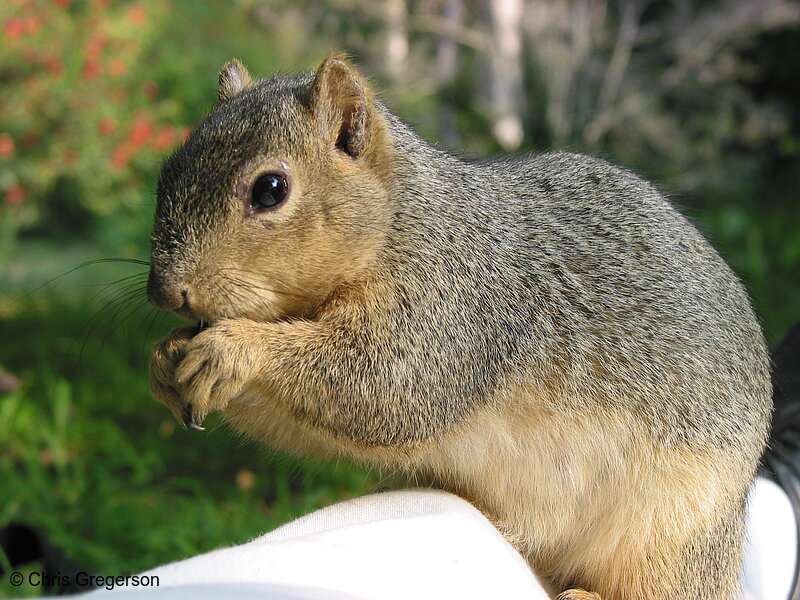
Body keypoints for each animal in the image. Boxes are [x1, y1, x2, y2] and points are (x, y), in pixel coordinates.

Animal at [147, 57, 772, 600]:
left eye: (271, 189)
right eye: (166, 172)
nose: (164, 291)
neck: (404, 223)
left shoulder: (454, 312)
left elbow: (384, 388)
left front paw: (234, 349)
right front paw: (164, 359)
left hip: (673, 530)